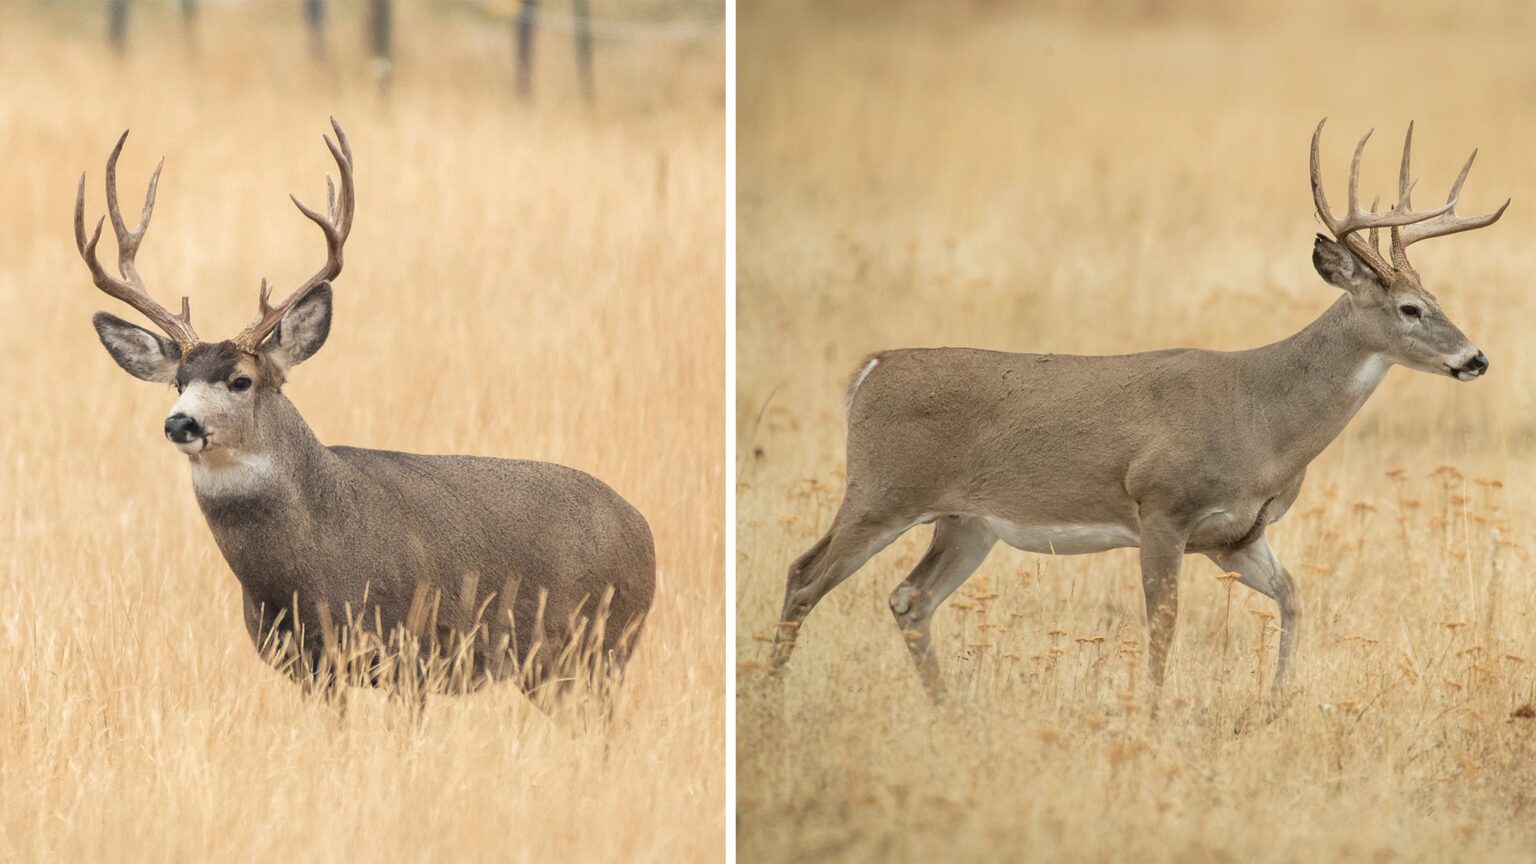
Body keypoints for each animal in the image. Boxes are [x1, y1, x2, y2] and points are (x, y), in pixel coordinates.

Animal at [80, 120, 655, 709]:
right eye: (178, 382)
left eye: (242, 380)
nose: (180, 423)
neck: (306, 565)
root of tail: (644, 531)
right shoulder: (310, 667)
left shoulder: (414, 648)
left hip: (599, 647)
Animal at [767, 120, 1507, 704]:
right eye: (1409, 309)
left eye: (1437, 297)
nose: (1475, 358)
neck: (1262, 418)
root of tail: (870, 370)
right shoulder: (1161, 507)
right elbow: (1163, 624)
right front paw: (1150, 717)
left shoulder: (1236, 537)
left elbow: (1294, 596)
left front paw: (1276, 704)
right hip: (881, 488)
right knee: (805, 575)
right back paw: (771, 700)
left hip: (966, 521)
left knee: (909, 598)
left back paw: (946, 710)